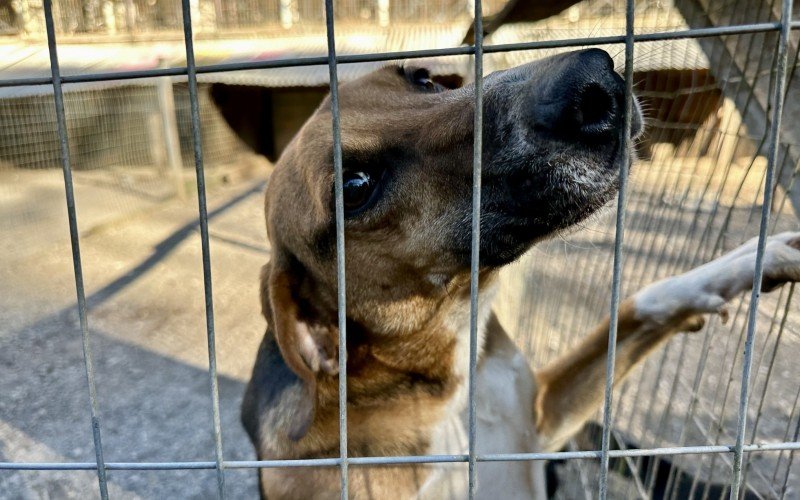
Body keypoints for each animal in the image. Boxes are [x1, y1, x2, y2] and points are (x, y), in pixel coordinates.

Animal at [239, 48, 800, 498]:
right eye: (356, 186)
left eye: (424, 79)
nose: (595, 80)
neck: (445, 381)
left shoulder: (540, 418)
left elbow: (639, 303)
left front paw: (754, 258)